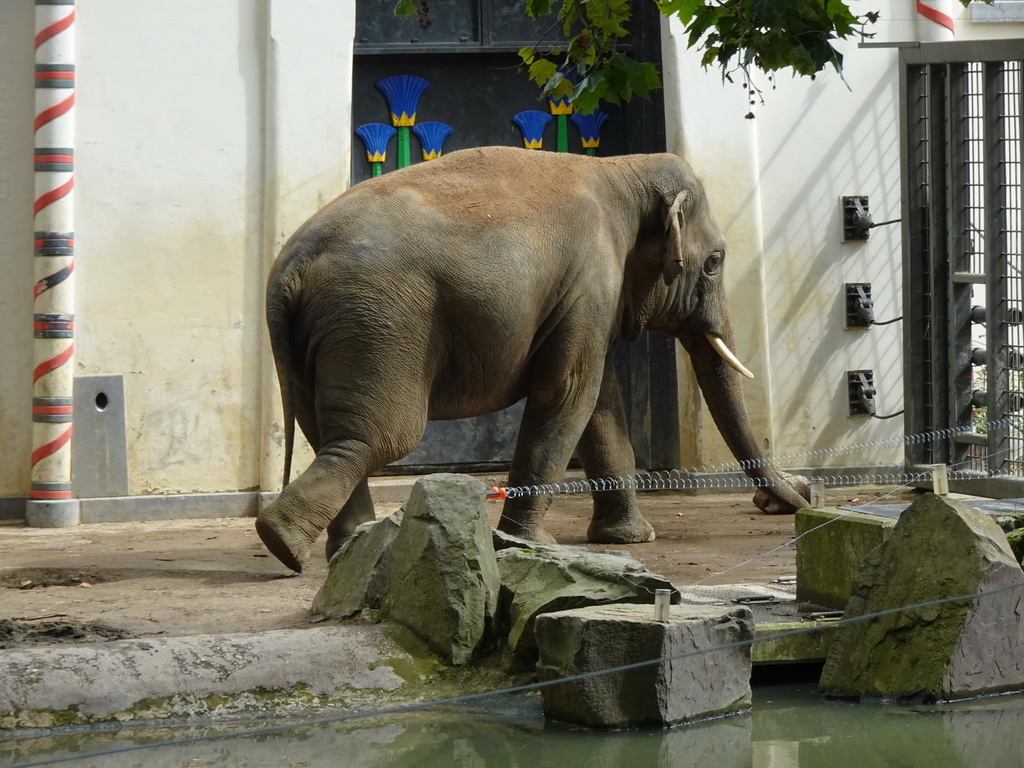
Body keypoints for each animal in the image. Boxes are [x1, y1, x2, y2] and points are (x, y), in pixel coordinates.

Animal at [256, 147, 806, 573]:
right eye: (714, 263)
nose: (781, 501)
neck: (621, 169)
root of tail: (291, 267)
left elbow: (600, 404)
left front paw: (628, 538)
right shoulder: (590, 279)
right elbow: (567, 392)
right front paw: (531, 545)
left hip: (325, 337)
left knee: (324, 431)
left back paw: (346, 545)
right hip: (380, 324)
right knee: (378, 437)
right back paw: (284, 543)